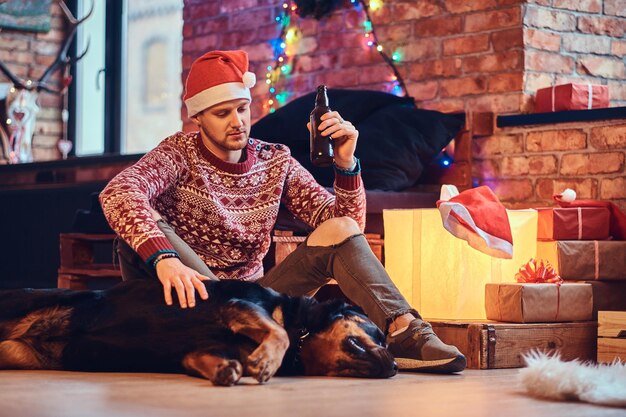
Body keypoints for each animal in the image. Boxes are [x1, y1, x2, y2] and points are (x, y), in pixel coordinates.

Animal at [0, 278, 394, 386]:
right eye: (378, 334)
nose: (393, 367)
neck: (303, 332)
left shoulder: (194, 352)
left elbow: (207, 358)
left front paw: (228, 369)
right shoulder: (237, 305)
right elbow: (277, 334)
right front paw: (266, 361)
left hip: (16, 354)